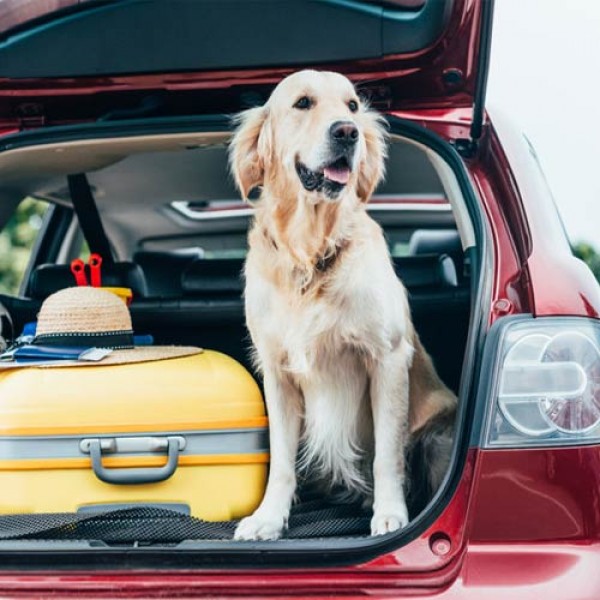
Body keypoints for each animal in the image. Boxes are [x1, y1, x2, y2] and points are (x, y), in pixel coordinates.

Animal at [229, 69, 454, 540]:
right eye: (302, 103)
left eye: (352, 105)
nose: (347, 132)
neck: (310, 254)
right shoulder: (277, 372)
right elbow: (281, 461)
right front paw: (268, 518)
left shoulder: (386, 358)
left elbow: (387, 454)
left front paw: (391, 514)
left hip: (439, 432)